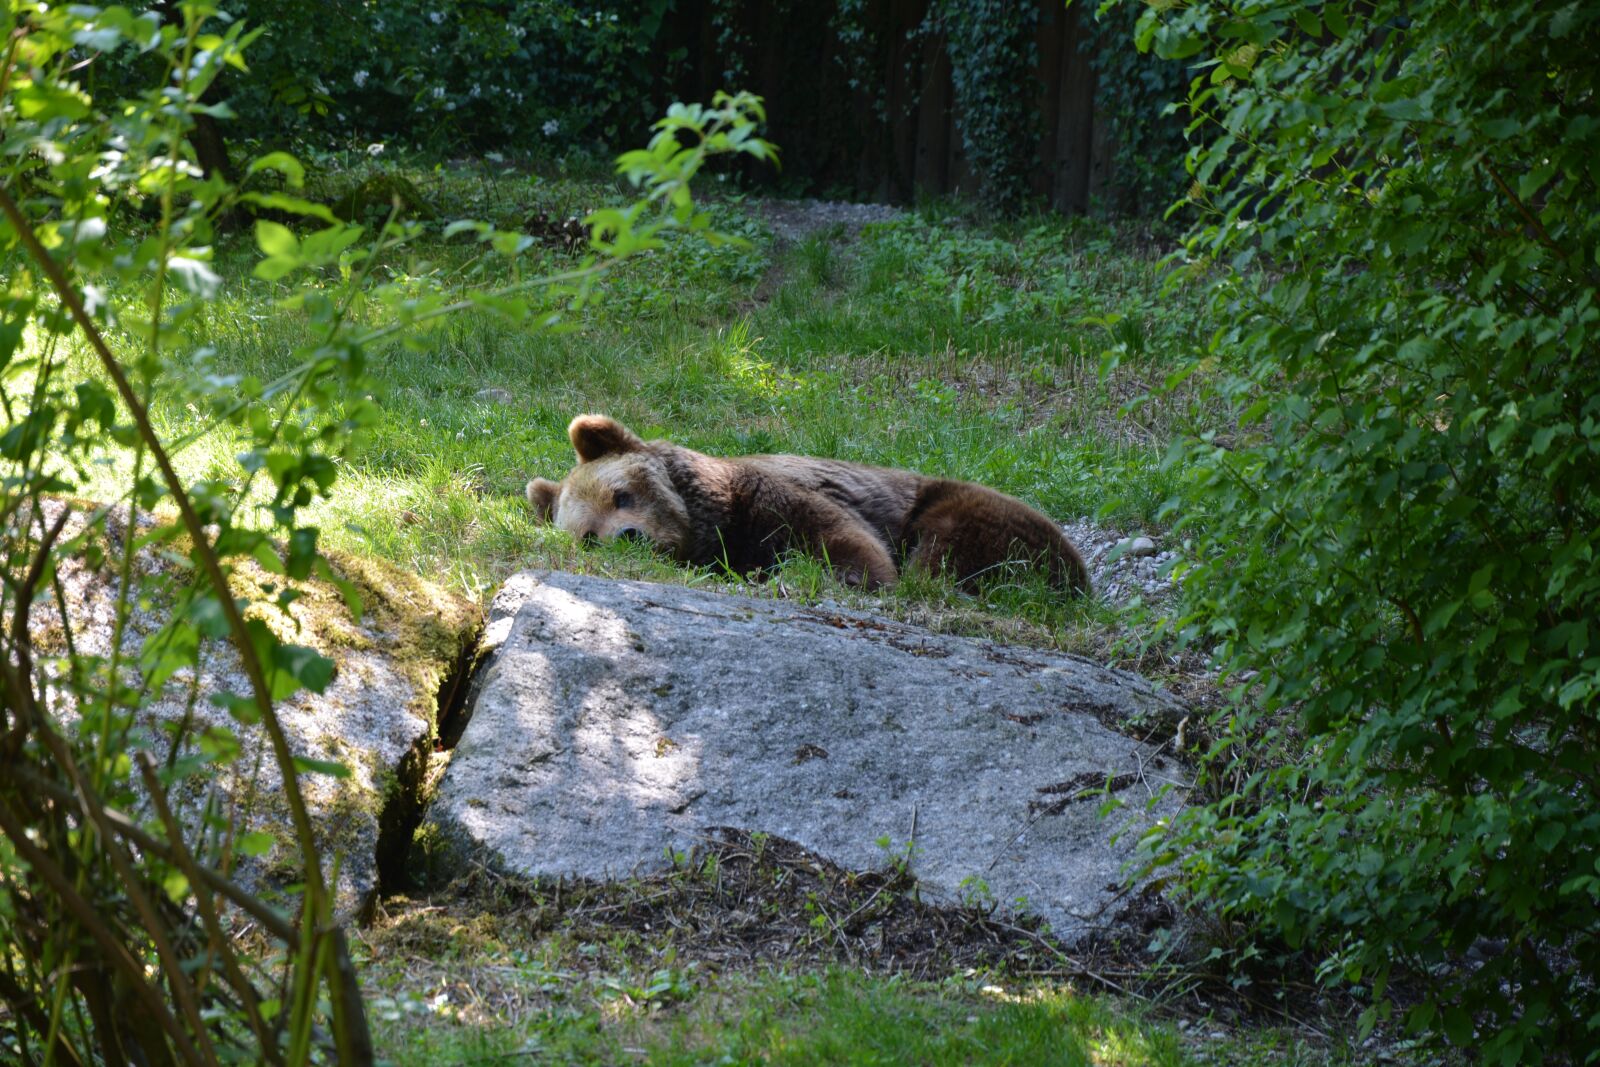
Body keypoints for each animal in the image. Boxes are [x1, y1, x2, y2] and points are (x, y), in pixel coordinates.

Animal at [526, 414, 1090, 594]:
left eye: (622, 494)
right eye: (590, 538)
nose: (631, 536)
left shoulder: (769, 495)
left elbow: (844, 540)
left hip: (969, 509)